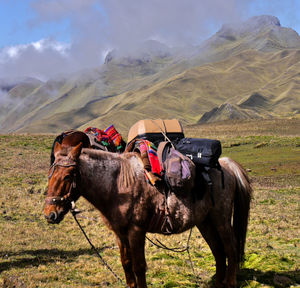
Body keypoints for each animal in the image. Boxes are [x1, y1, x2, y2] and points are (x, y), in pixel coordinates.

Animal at [44, 142, 251, 288]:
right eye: (50, 174)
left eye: (68, 176)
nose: (50, 215)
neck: (117, 184)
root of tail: (226, 165)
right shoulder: (120, 233)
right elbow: (126, 264)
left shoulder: (136, 231)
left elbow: (139, 266)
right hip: (205, 222)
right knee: (218, 251)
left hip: (221, 219)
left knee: (230, 248)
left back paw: (230, 282)